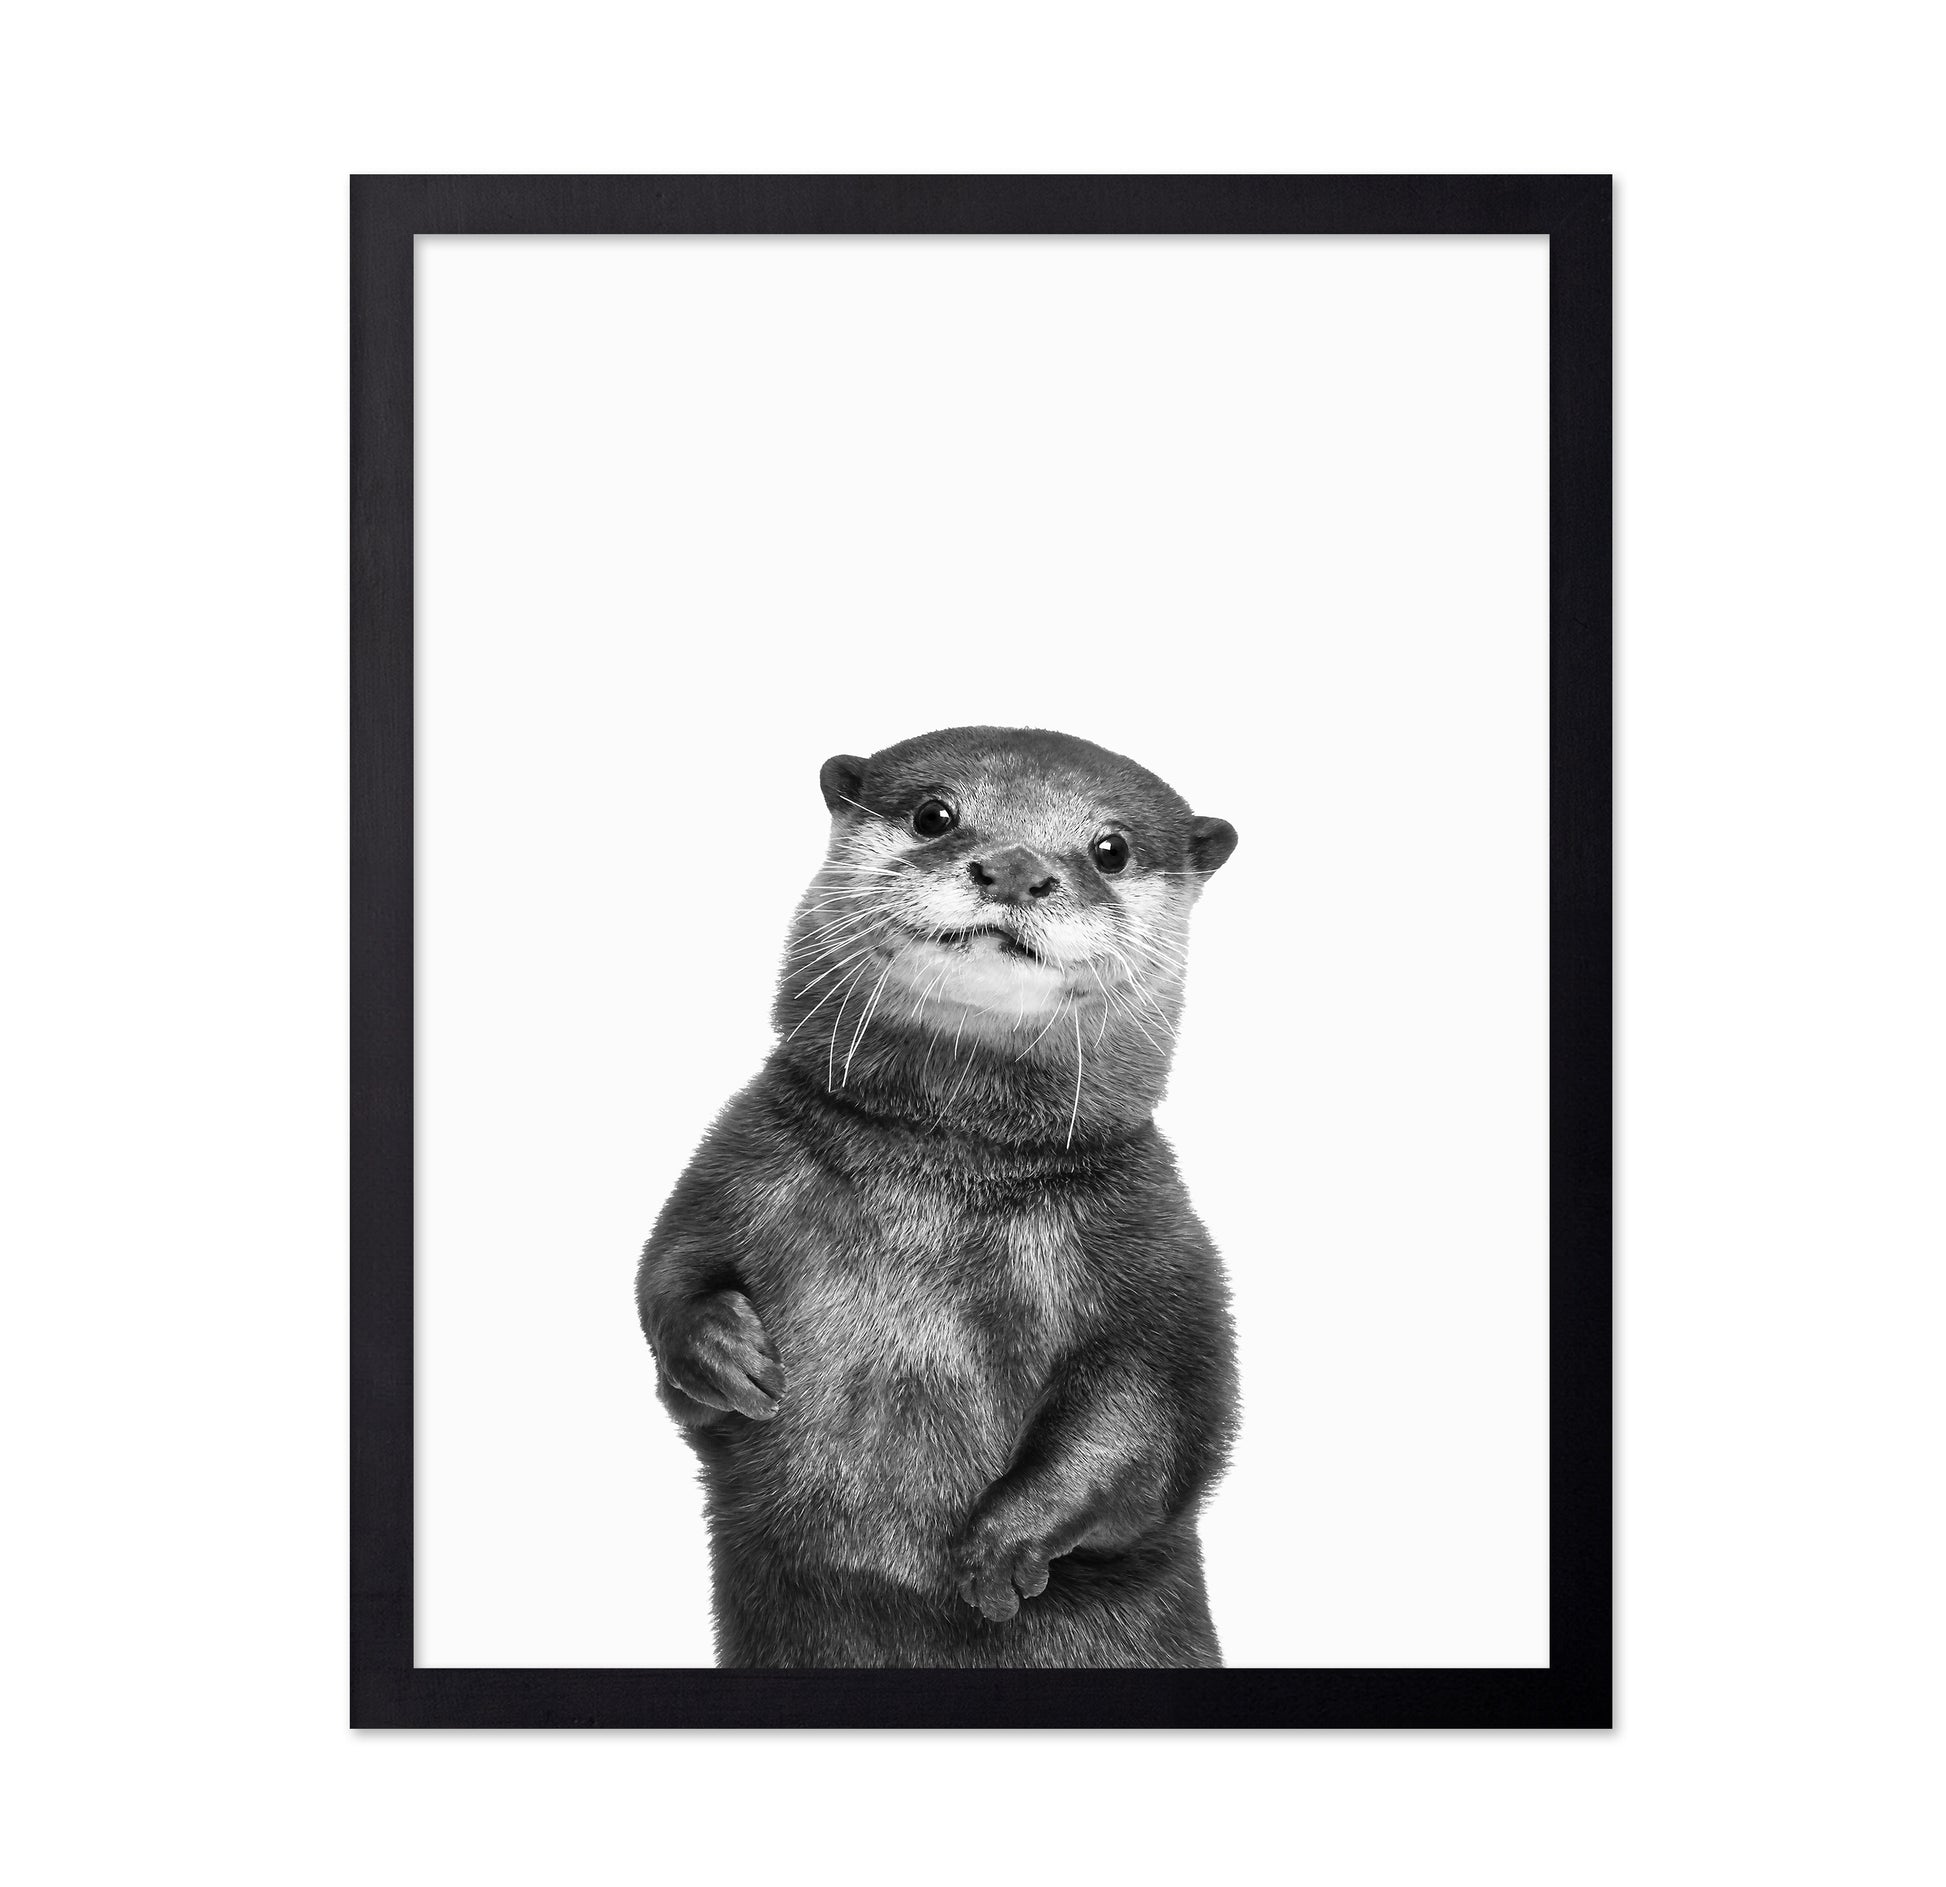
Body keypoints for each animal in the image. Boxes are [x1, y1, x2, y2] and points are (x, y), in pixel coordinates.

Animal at [636, 725, 1239, 1667]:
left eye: (1110, 848)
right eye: (934, 814)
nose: (1017, 869)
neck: (940, 1176)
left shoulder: (1157, 1245)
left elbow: (1157, 1412)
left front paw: (1004, 1543)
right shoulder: (737, 1164)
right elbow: (667, 1271)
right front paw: (720, 1350)